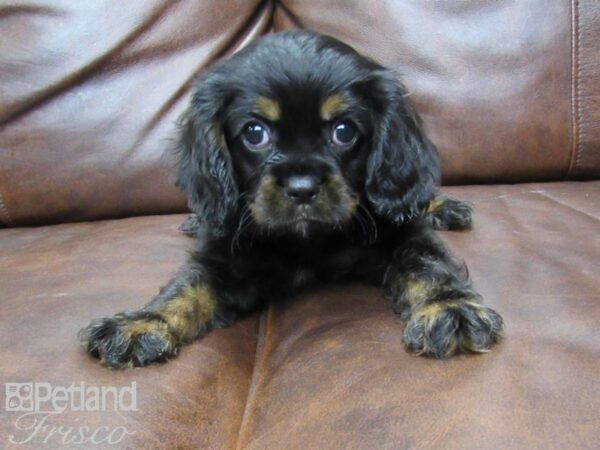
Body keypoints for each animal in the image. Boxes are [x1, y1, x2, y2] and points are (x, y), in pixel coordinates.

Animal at [78, 31, 502, 370]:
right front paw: (142, 324)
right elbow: (185, 290)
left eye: (344, 131)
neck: (307, 240)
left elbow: (429, 266)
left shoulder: (402, 237)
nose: (301, 187)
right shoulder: (225, 258)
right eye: (254, 133)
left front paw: (449, 309)